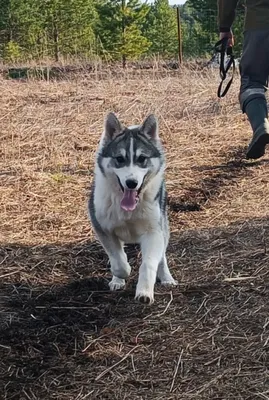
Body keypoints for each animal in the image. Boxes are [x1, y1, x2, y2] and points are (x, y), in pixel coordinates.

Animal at [88, 112, 176, 304]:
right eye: (119, 159)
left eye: (142, 159)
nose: (131, 183)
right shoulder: (103, 229)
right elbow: (118, 260)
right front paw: (123, 273)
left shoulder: (154, 231)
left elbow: (149, 263)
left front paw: (144, 291)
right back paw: (117, 280)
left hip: (163, 225)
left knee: (162, 257)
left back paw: (166, 277)